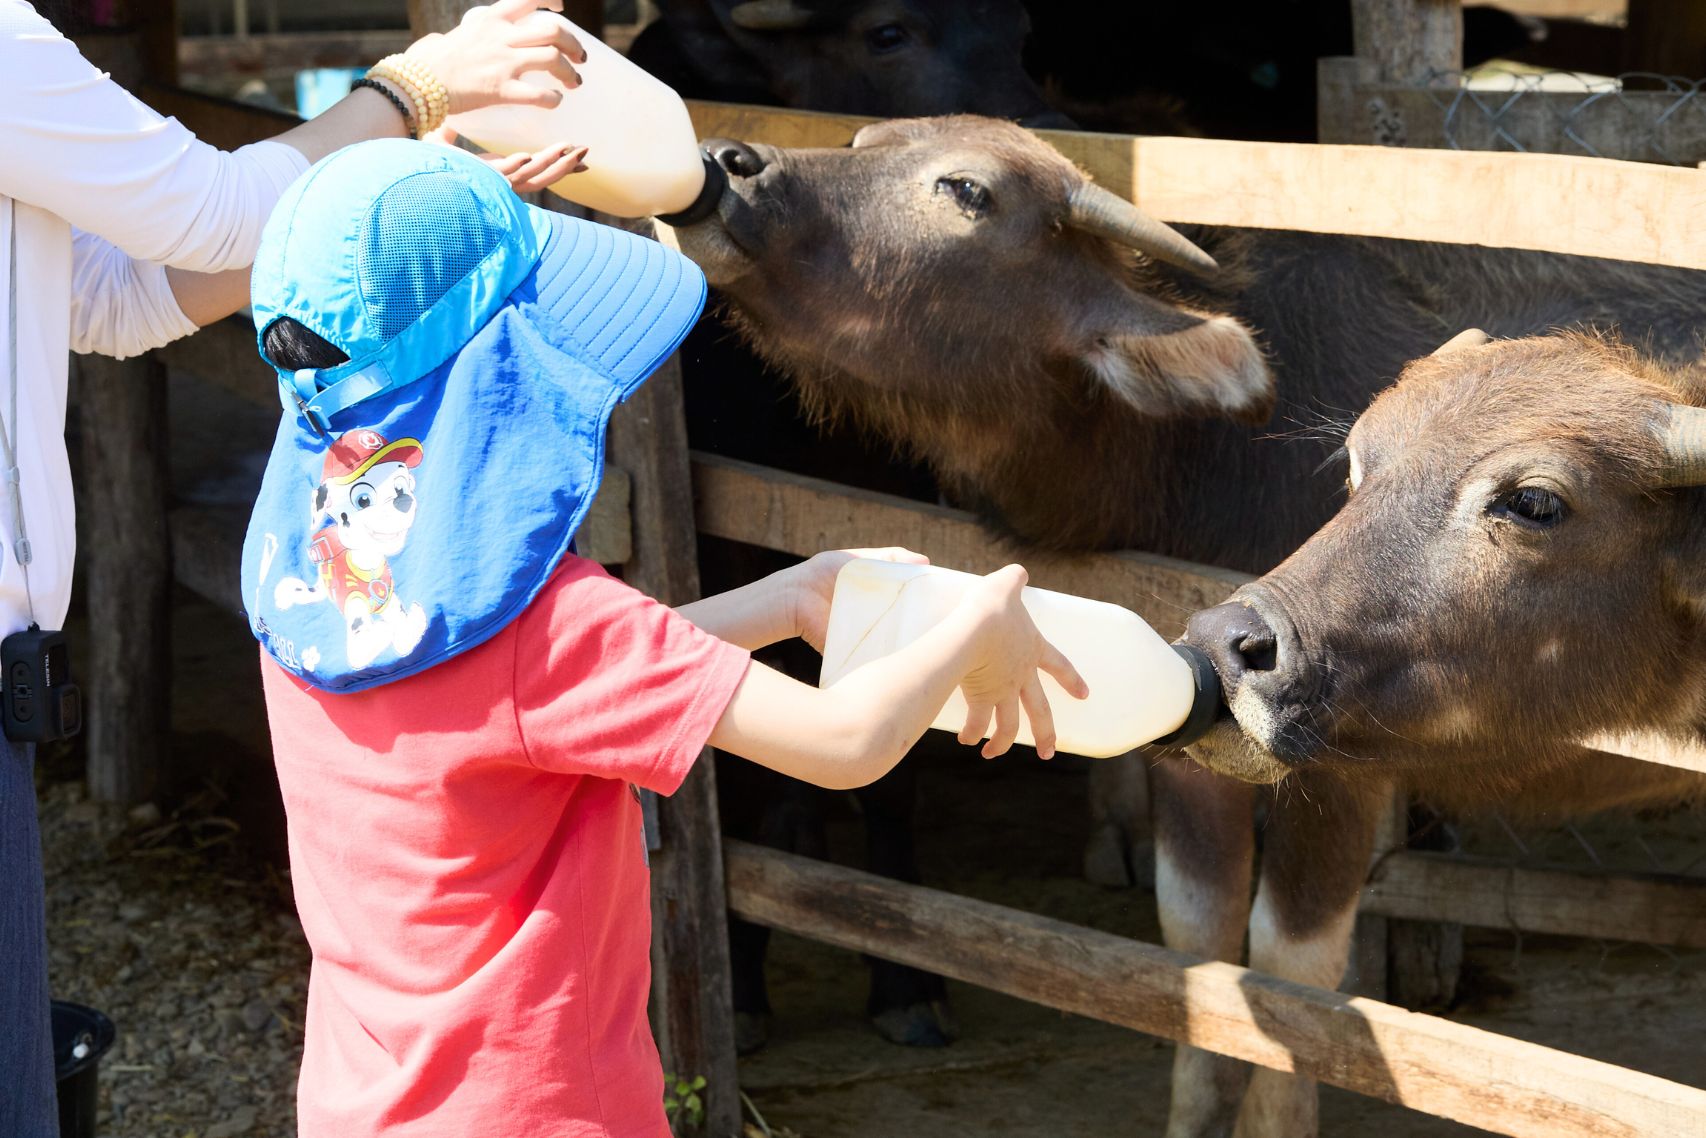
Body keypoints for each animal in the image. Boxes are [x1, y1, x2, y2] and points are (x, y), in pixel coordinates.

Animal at [662, 116, 1706, 1135]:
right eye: (1356, 463)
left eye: (965, 189)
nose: (729, 160)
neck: (1203, 451)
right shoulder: (1192, 747)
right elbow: (1198, 944)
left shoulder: (1348, 773)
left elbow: (1294, 972)